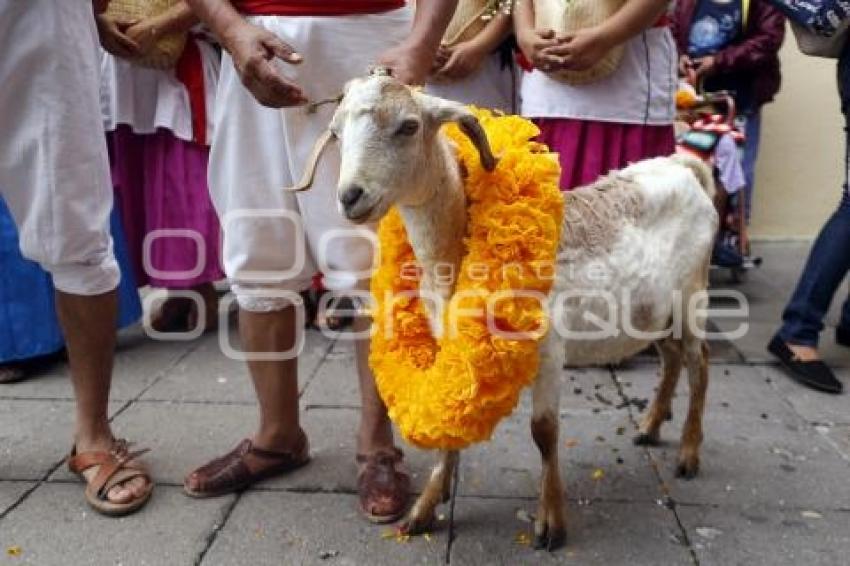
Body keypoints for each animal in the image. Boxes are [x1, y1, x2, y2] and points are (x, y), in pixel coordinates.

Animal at [324, 74, 716, 552]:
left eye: (408, 126)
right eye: (336, 132)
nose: (350, 197)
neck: (455, 254)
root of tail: (686, 168)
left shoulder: (549, 352)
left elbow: (544, 433)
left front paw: (551, 523)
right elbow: (449, 416)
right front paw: (425, 507)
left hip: (693, 296)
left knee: (699, 366)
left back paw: (689, 453)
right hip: (653, 311)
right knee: (672, 358)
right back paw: (650, 425)